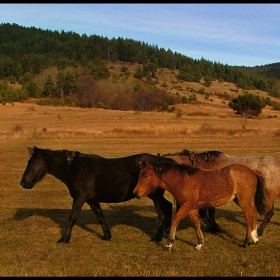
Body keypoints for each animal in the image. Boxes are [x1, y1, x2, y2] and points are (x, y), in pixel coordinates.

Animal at [19, 147, 175, 243]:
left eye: (33, 162)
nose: (23, 183)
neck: (74, 168)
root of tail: (162, 161)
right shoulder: (92, 200)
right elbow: (100, 217)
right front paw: (107, 236)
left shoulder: (79, 199)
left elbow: (72, 218)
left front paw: (64, 239)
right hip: (155, 196)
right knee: (165, 210)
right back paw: (162, 235)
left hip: (155, 196)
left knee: (164, 211)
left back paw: (158, 237)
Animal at [132, 156, 266, 250]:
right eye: (140, 175)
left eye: (146, 176)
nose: (136, 193)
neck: (183, 181)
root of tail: (252, 172)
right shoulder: (190, 208)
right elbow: (196, 223)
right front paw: (199, 244)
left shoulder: (186, 205)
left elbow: (175, 219)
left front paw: (169, 243)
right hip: (238, 199)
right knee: (253, 212)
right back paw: (255, 237)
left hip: (243, 200)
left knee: (248, 216)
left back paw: (246, 242)